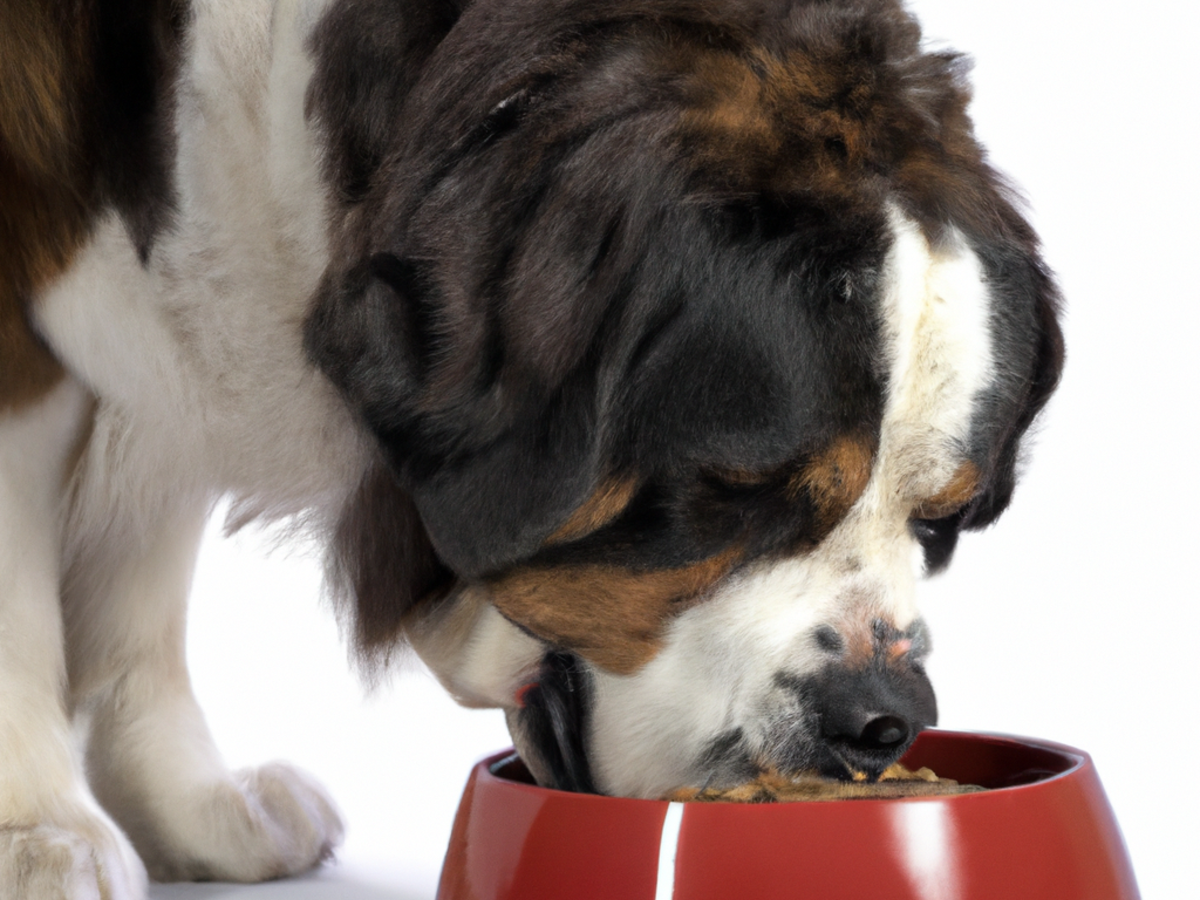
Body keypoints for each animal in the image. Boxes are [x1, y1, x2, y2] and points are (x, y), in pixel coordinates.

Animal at [2, 0, 1070, 897]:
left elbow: (140, 578)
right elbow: (23, 601)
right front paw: (40, 832)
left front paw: (186, 806)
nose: (882, 717)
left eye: (940, 523)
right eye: (737, 492)